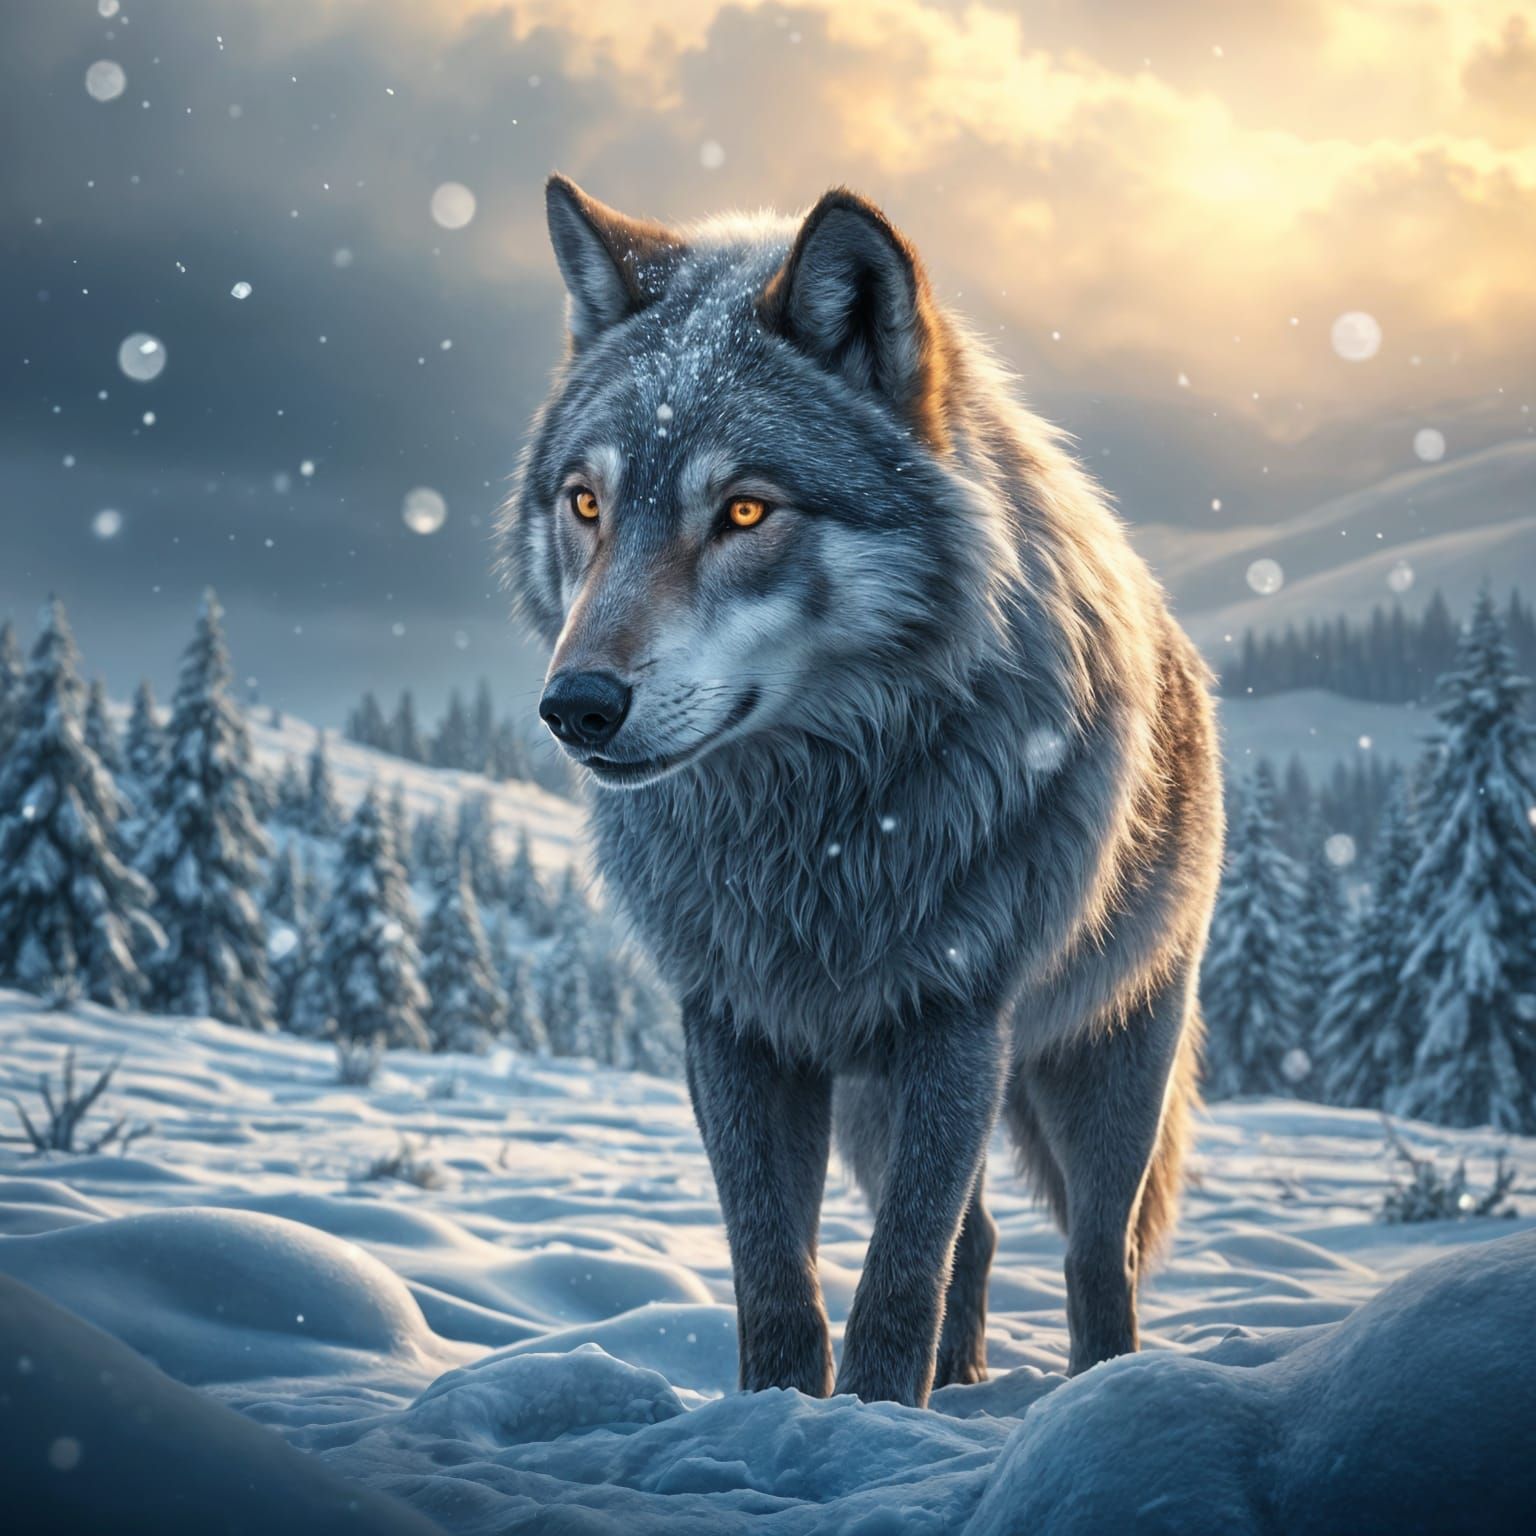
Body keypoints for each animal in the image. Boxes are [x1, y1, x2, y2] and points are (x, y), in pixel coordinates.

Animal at [500, 176, 1225, 1408]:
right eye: (586, 504)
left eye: (744, 512)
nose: (576, 707)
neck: (814, 833)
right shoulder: (736, 1025)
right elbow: (774, 1273)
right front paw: (781, 1415)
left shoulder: (956, 1022)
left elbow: (896, 1279)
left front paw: (878, 1419)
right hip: (877, 1107)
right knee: (979, 1239)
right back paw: (968, 1383)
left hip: (1101, 1064)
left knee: (1096, 1257)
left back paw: (1099, 1396)